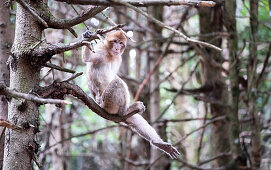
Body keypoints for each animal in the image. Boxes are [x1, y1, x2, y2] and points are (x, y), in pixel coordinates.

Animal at [82, 29, 182, 159]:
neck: (110, 54)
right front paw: (86, 37)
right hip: (107, 103)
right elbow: (87, 58)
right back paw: (125, 111)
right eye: (115, 41)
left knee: (134, 118)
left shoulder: (118, 58)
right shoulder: (100, 50)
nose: (117, 48)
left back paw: (158, 143)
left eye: (121, 43)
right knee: (118, 82)